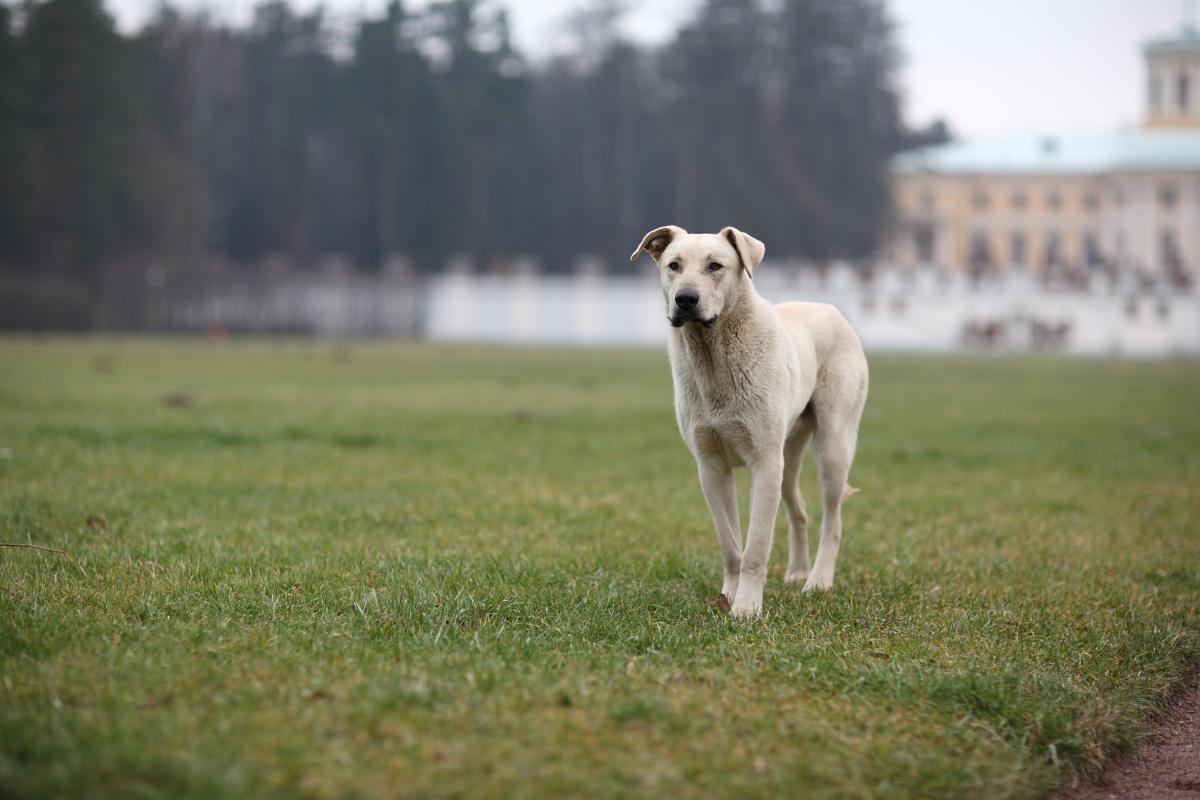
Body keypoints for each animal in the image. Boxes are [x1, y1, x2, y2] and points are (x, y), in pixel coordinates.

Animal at [633, 227, 868, 618]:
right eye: (673, 266)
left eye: (715, 266)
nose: (685, 299)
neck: (713, 357)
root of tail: (831, 308)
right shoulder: (712, 466)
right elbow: (730, 543)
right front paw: (728, 595)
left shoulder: (764, 462)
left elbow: (756, 546)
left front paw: (746, 608)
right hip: (789, 457)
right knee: (800, 511)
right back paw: (797, 572)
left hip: (832, 446)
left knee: (832, 522)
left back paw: (817, 582)